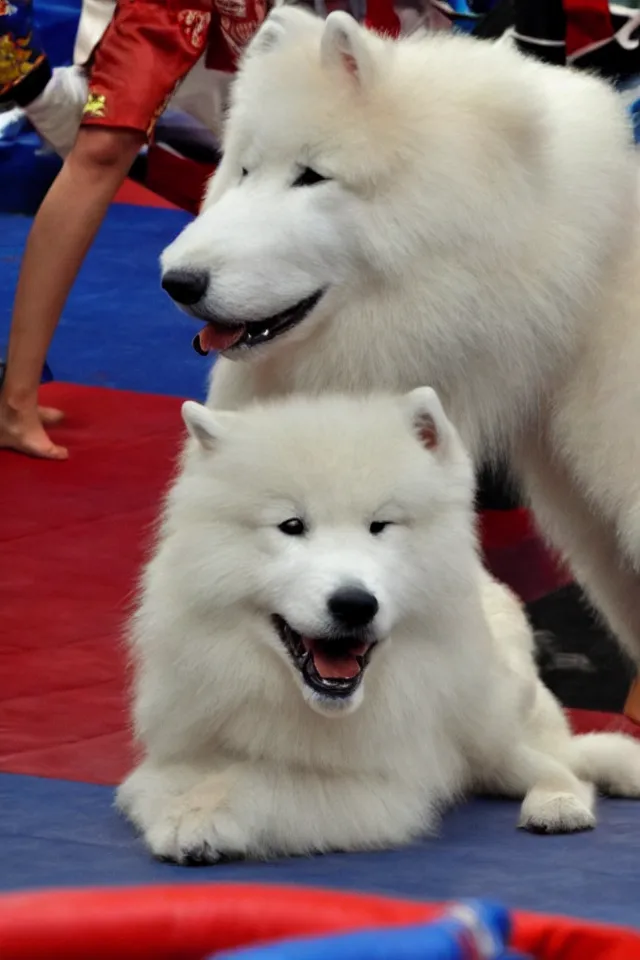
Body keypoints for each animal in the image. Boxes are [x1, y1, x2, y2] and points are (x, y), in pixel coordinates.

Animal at [117, 390, 640, 864]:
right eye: (291, 525)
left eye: (380, 526)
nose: (354, 605)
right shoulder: (180, 748)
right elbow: (161, 783)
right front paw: (181, 809)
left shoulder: (381, 786)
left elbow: (261, 781)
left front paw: (202, 818)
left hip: (493, 732)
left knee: (564, 768)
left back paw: (558, 805)